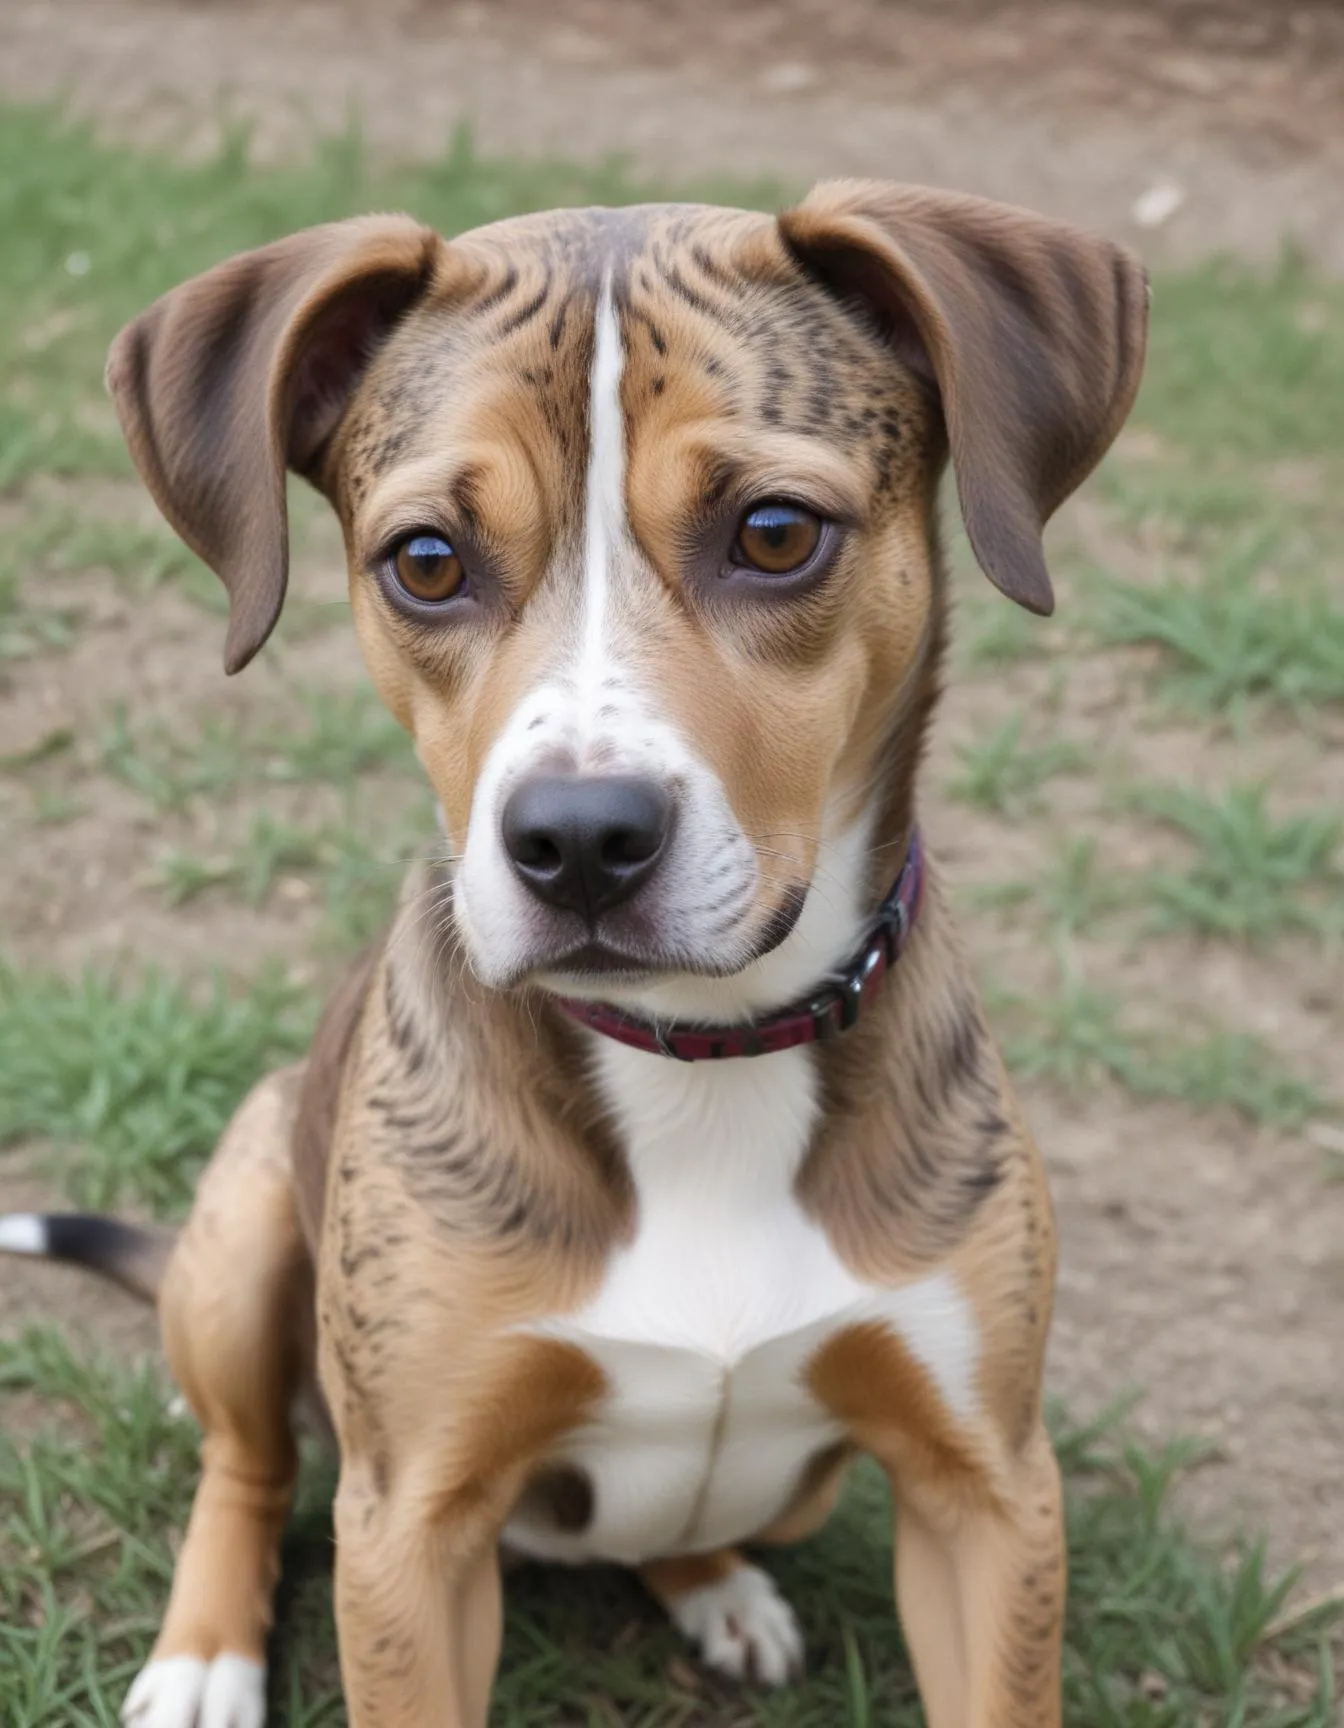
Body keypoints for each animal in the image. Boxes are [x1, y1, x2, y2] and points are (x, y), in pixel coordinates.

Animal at [0, 178, 1140, 1728]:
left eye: (775, 531)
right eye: (426, 561)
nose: (582, 842)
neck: (698, 1052)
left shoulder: (989, 1493)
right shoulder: (411, 1532)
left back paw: (714, 1585)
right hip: (242, 1224)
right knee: (251, 1458)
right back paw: (203, 1654)